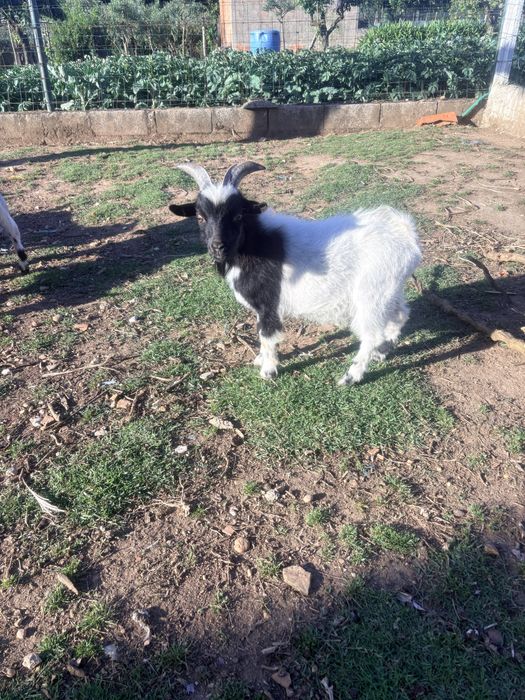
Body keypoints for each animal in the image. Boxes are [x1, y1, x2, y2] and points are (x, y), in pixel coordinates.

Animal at [169, 161, 421, 386]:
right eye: (200, 217)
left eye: (238, 216)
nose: (217, 247)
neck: (252, 244)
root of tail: (406, 235)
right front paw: (260, 360)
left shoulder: (268, 304)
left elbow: (267, 335)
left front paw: (268, 370)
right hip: (389, 291)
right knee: (401, 314)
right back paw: (382, 352)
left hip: (371, 294)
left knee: (372, 334)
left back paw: (351, 376)